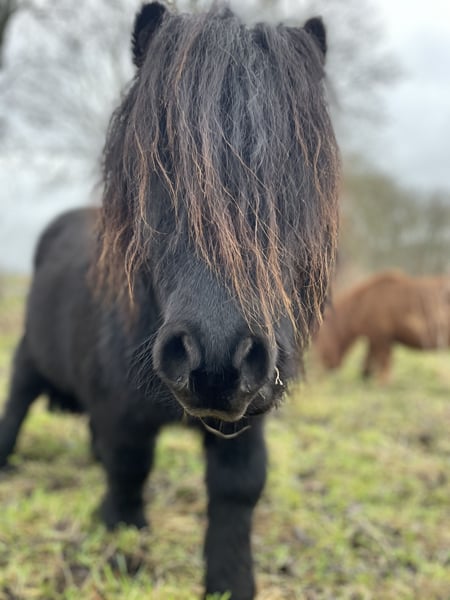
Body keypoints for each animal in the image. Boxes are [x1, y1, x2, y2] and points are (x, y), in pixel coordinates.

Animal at [0, 3, 340, 598]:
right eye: (160, 165)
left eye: (300, 174)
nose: (217, 360)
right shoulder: (122, 414)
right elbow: (128, 474)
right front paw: (120, 552)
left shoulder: (246, 419)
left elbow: (239, 487)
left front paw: (229, 580)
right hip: (28, 357)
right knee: (17, 403)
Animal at [314, 270, 450, 383]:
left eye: (321, 341)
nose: (321, 370)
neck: (362, 304)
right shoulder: (374, 338)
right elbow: (368, 364)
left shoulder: (382, 339)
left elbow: (384, 363)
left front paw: (382, 383)